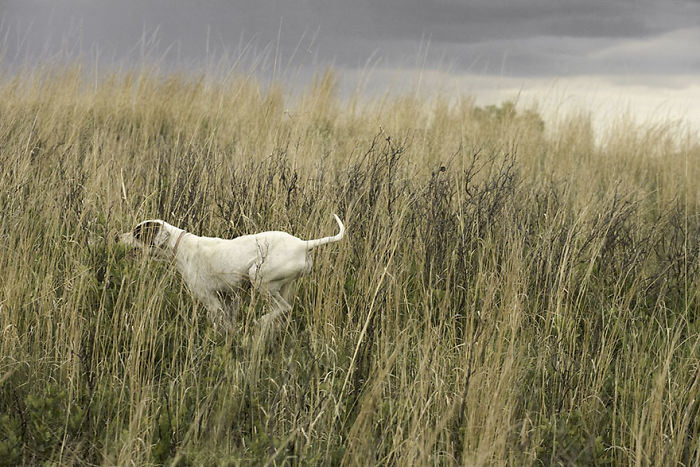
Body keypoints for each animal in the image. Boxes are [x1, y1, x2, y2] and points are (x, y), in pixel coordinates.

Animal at [119, 215, 344, 330]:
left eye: (137, 233)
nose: (116, 237)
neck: (180, 246)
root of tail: (303, 244)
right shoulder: (230, 298)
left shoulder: (211, 301)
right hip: (283, 285)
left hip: (258, 278)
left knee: (284, 307)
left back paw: (262, 321)